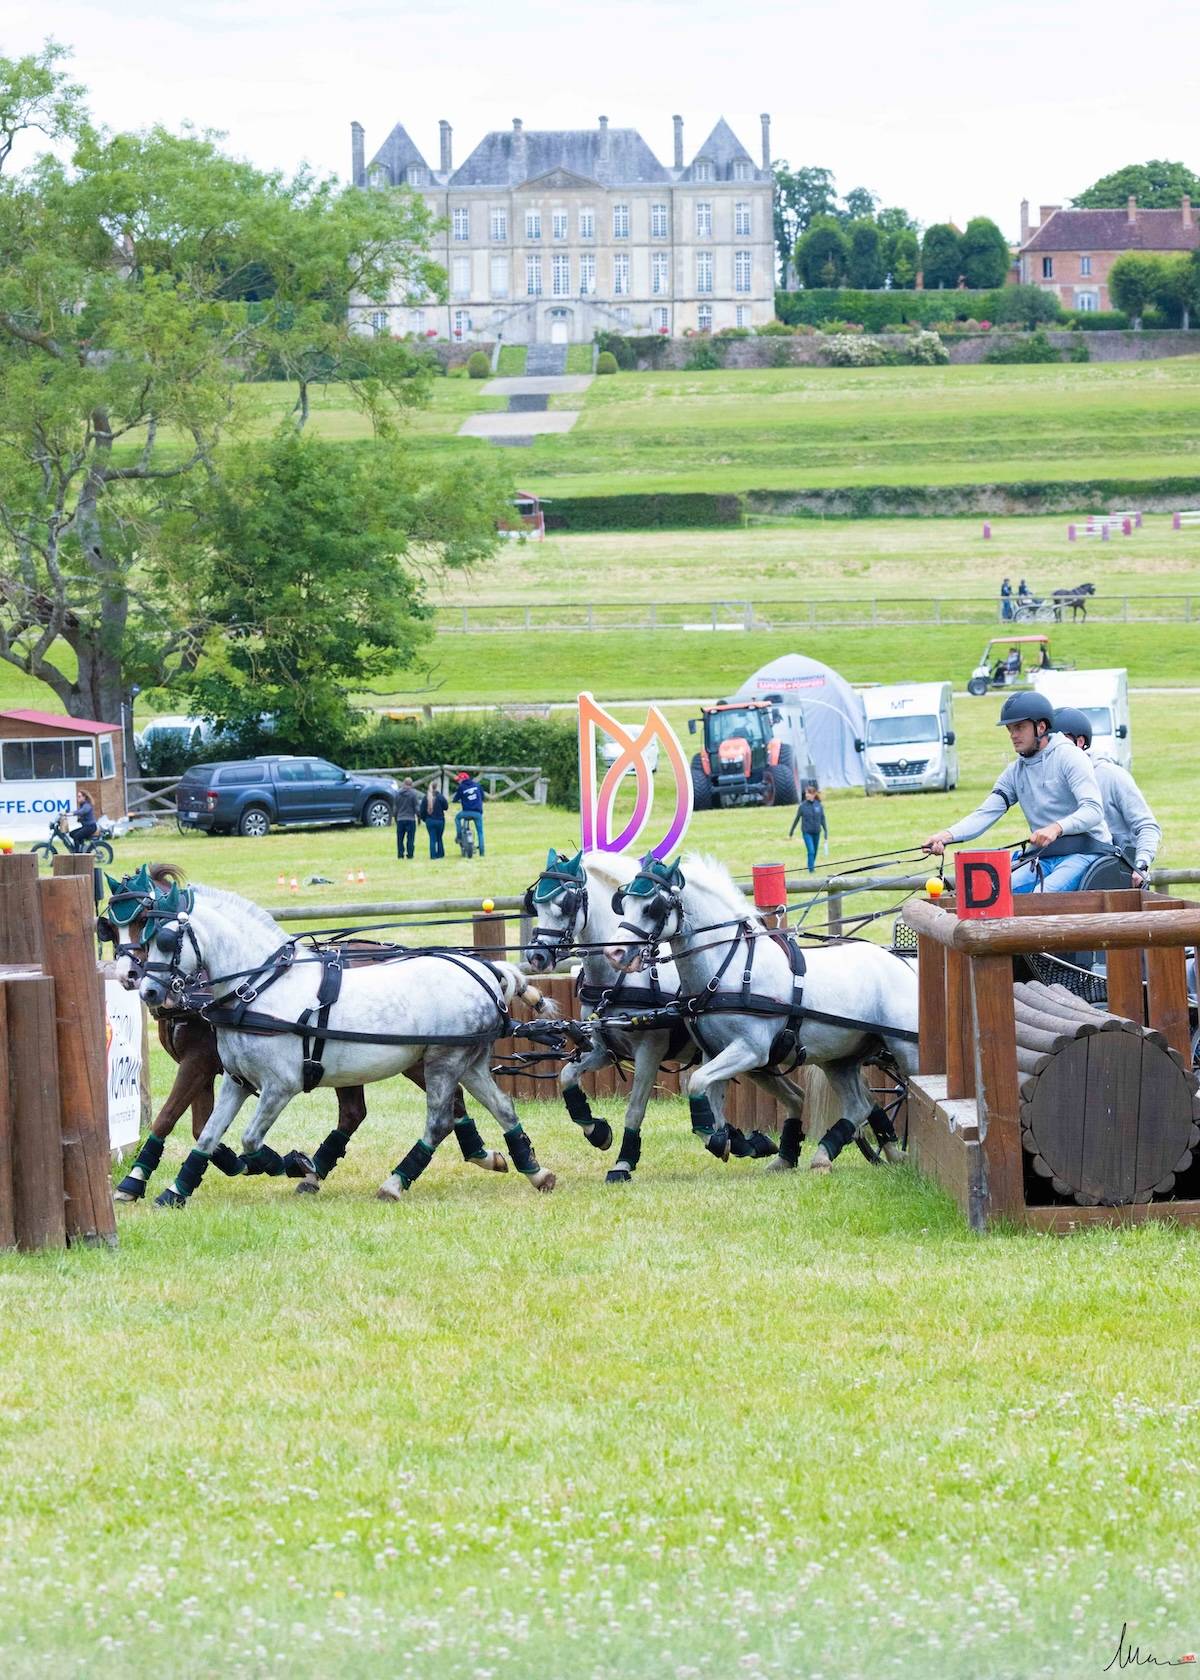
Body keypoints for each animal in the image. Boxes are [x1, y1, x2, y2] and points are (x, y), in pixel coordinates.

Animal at [108, 874, 558, 1206]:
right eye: (118, 930)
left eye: (164, 939)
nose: (146, 990)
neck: (257, 989)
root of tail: (483, 969)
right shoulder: (235, 1081)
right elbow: (206, 1134)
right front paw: (175, 1190)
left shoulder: (279, 1086)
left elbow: (249, 1140)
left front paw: (292, 1163)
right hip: (468, 1061)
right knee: (502, 1107)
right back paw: (534, 1171)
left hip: (443, 1061)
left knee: (439, 1121)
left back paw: (394, 1183)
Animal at [522, 850, 788, 1180]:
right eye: (535, 904)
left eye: (565, 903)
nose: (536, 956)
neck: (619, 979)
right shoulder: (602, 1049)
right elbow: (567, 1076)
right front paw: (596, 1130)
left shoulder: (650, 1050)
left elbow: (635, 1108)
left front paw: (624, 1162)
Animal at [605, 854, 918, 1172]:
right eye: (623, 903)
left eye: (652, 907)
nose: (614, 953)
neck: (729, 968)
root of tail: (902, 963)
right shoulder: (714, 1051)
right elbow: (710, 1099)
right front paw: (725, 1140)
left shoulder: (751, 1050)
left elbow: (697, 1083)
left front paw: (731, 1141)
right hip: (839, 1059)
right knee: (859, 1104)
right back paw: (825, 1155)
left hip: (907, 1050)